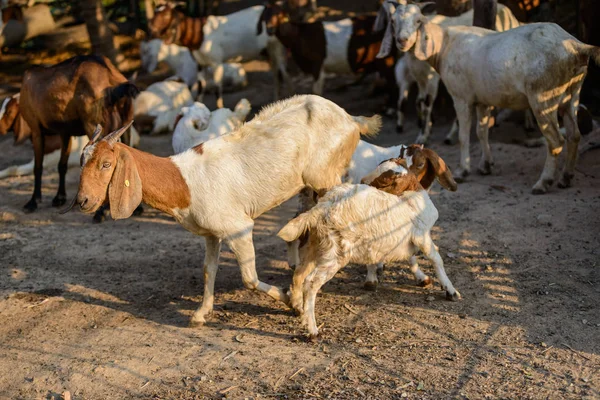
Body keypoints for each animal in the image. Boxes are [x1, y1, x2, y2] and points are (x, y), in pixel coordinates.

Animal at [278, 158, 462, 340]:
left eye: (383, 181)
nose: (364, 181)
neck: (412, 198)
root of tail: (323, 207)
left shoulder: (402, 240)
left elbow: (410, 258)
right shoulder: (422, 237)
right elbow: (436, 259)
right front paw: (451, 291)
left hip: (316, 246)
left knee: (299, 273)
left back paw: (298, 309)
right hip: (336, 254)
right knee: (311, 283)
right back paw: (313, 330)